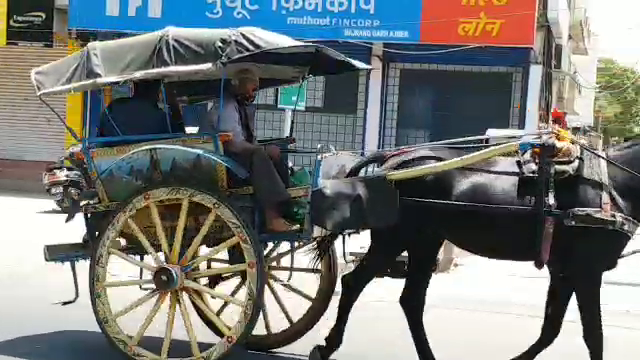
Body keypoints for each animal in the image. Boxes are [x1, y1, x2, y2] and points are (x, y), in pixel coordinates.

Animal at [308, 140, 636, 360]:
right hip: (395, 239)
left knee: (410, 300)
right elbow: (593, 334)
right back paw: (327, 346)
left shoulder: (564, 271)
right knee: (354, 283)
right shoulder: (586, 271)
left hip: (425, 242)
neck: (613, 185)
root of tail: (392, 162)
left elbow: (551, 328)